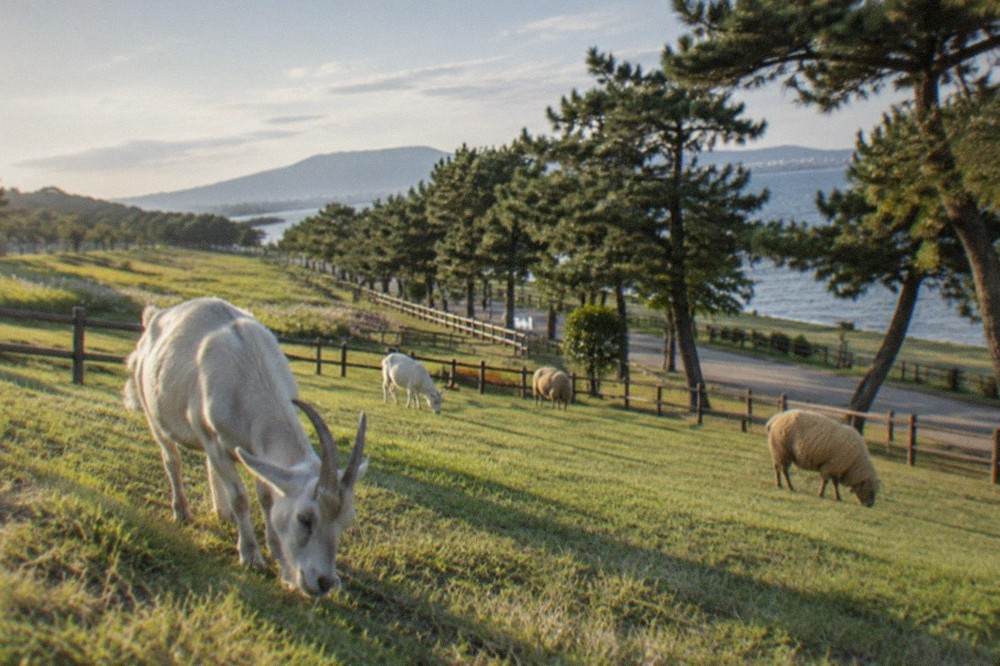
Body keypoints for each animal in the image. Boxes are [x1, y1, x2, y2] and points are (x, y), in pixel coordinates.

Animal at [124, 297, 368, 596]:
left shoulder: (257, 451)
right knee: (172, 459)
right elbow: (240, 497)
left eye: (346, 521)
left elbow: (266, 499)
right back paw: (181, 510)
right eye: (305, 518)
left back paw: (223, 514)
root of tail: (154, 316)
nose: (323, 583)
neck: (250, 367)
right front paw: (251, 556)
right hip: (153, 411)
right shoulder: (213, 439)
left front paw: (282, 564)